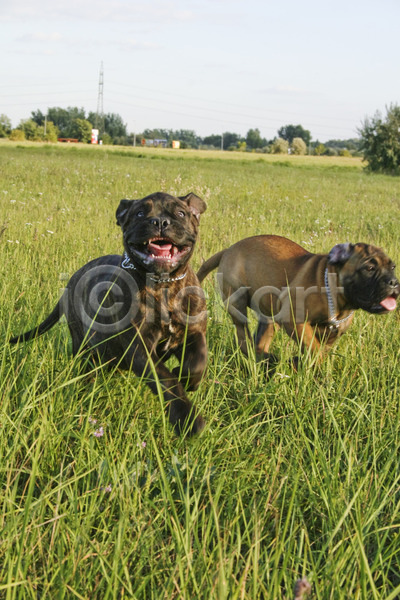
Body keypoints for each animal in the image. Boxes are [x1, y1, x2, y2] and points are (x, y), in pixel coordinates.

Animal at [10, 192, 208, 436]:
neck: (164, 285)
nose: (160, 222)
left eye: (180, 213)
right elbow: (165, 379)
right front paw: (187, 418)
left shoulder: (194, 333)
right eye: (140, 213)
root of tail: (71, 281)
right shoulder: (139, 347)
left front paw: (186, 377)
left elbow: (198, 362)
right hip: (83, 345)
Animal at [198, 234, 400, 360]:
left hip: (269, 313)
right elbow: (314, 349)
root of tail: (228, 250)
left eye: (392, 267)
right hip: (237, 303)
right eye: (369, 268)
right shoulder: (295, 321)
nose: (394, 282)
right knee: (242, 336)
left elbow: (318, 351)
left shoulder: (330, 335)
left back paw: (264, 359)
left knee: (261, 340)